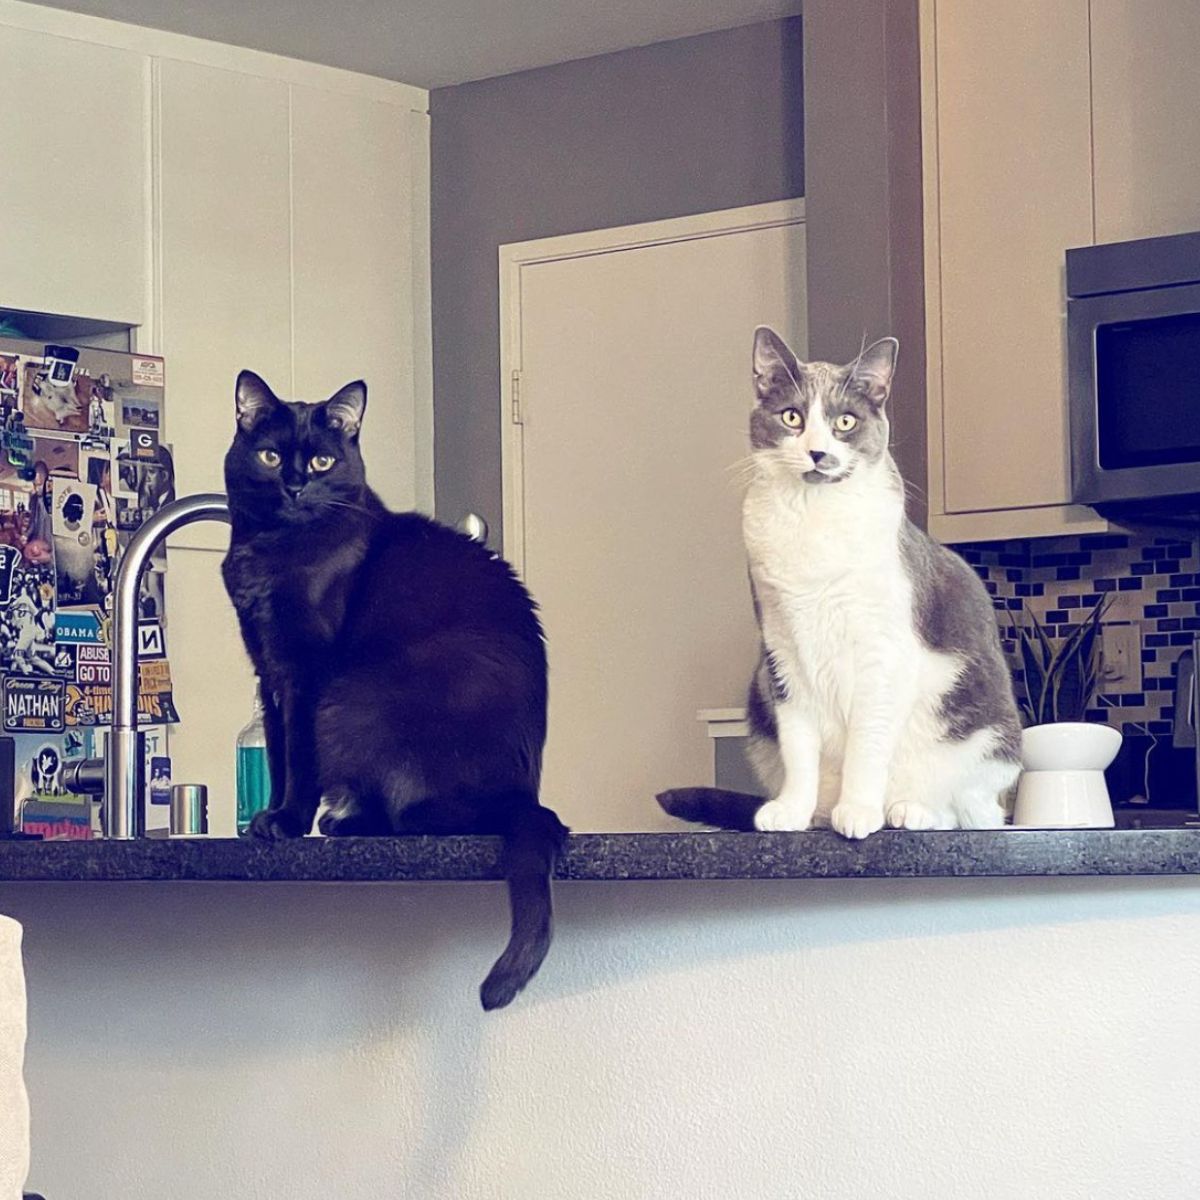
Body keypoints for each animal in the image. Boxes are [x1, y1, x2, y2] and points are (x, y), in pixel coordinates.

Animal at [220, 369, 566, 1008]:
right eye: (271, 455)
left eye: (324, 460)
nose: (296, 487)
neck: (271, 554)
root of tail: (524, 796)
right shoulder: (269, 666)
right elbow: (278, 754)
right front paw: (269, 818)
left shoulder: (307, 672)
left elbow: (299, 758)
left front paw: (289, 822)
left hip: (356, 699)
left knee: (411, 816)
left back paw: (344, 823)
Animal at [662, 324, 1017, 840]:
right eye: (792, 417)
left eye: (844, 422)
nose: (817, 451)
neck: (813, 520)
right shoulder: (783, 653)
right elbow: (798, 746)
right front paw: (791, 810)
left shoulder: (880, 653)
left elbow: (866, 743)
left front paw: (860, 810)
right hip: (759, 698)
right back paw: (819, 813)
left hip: (986, 733)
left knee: (967, 810)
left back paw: (907, 810)